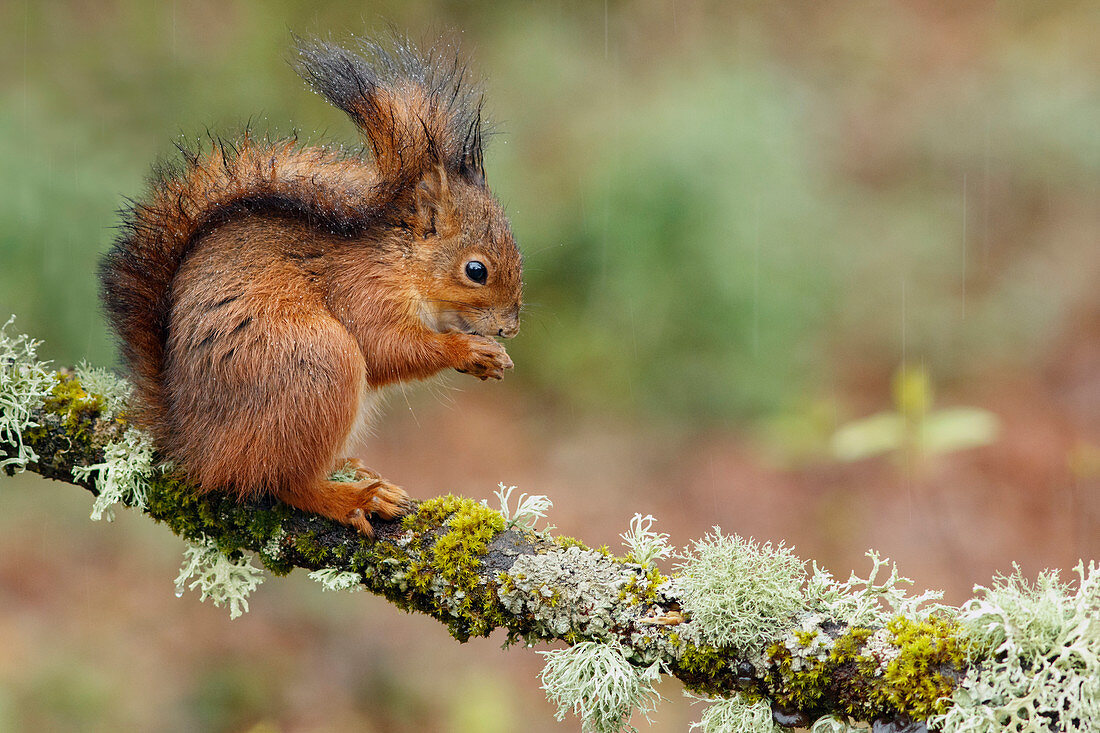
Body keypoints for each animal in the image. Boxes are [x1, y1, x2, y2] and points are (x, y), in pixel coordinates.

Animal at [97, 35, 519, 537]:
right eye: (476, 270)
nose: (511, 327)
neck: (399, 261)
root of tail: (193, 446)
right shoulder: (362, 291)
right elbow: (387, 348)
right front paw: (469, 351)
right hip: (315, 367)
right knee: (283, 482)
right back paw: (352, 498)